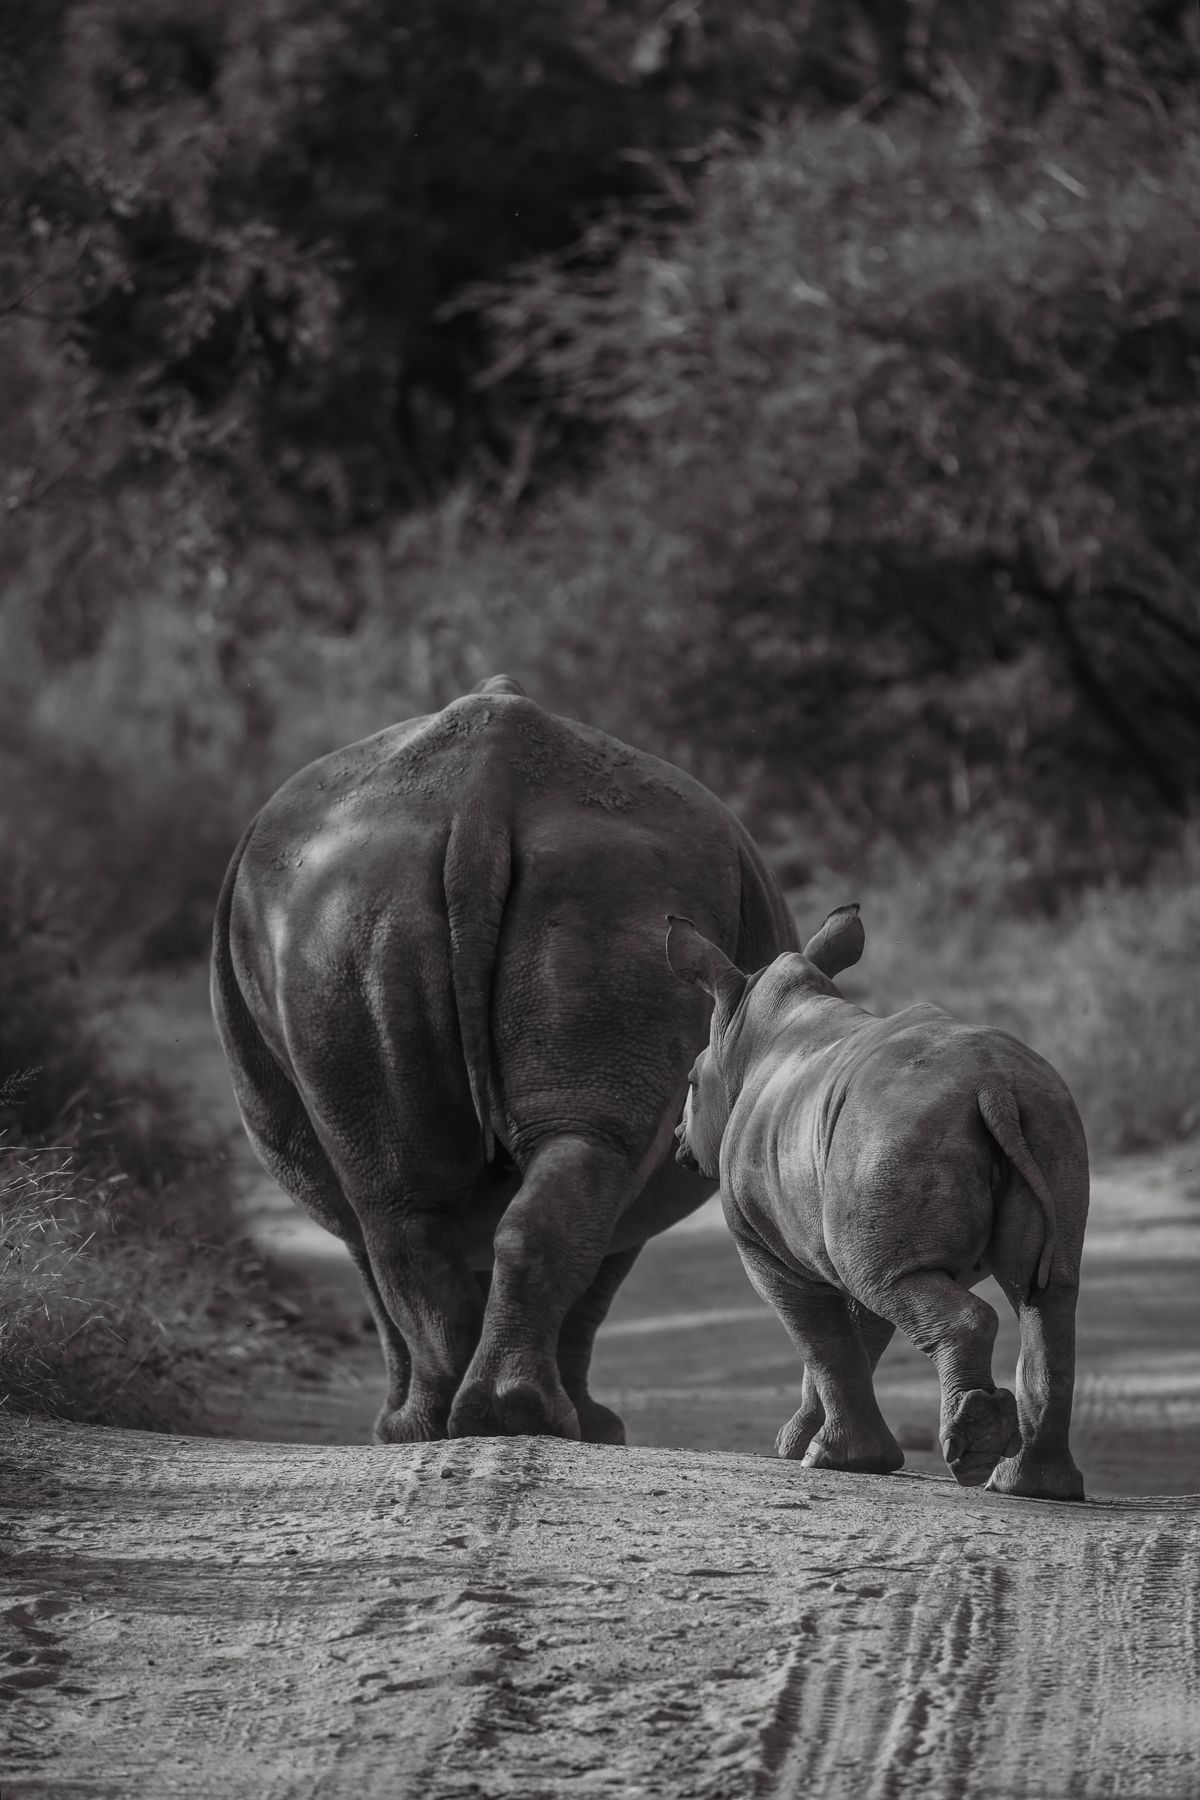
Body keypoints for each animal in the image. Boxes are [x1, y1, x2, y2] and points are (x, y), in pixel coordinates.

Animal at [211, 676, 796, 1444]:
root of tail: (482, 799)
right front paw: (592, 1426)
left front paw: (590, 1426)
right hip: (530, 896)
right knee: (443, 1189)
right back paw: (473, 1420)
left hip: (382, 903)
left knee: (412, 1197)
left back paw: (461, 1423)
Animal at [666, 904, 1088, 1500]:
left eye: (689, 1082)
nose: (678, 1141)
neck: (745, 1034)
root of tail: (995, 1087)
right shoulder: (852, 1232)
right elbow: (857, 1338)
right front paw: (808, 1445)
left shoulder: (765, 1246)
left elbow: (822, 1340)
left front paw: (829, 1458)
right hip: (1048, 1117)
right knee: (1047, 1296)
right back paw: (1031, 1487)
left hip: (893, 1126)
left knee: (905, 1287)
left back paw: (975, 1453)